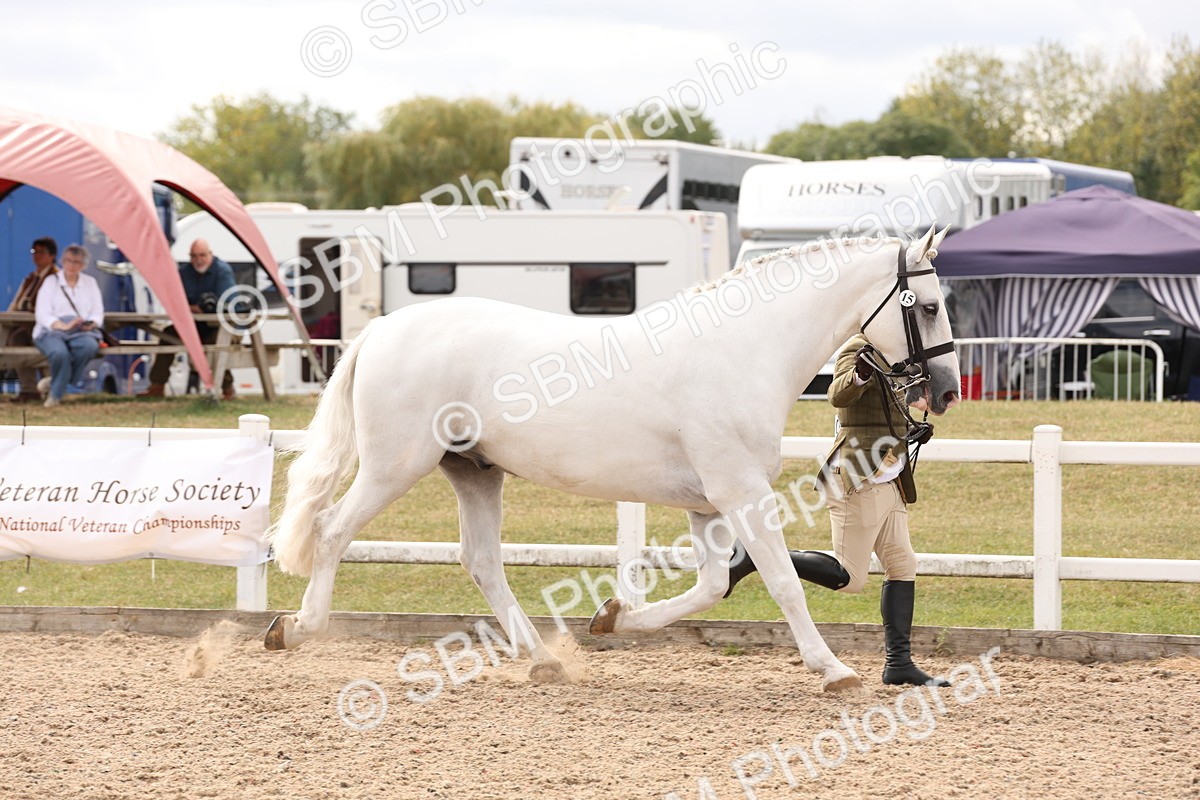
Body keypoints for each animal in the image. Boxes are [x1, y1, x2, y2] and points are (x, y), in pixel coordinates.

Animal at [264, 226, 961, 693]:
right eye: (928, 306)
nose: (947, 390)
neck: (742, 350)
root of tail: (382, 330)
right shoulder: (740, 492)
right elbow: (783, 582)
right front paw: (834, 670)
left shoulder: (708, 505)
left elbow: (711, 586)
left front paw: (613, 619)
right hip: (394, 466)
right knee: (331, 531)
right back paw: (294, 628)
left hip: (474, 471)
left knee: (482, 561)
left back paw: (544, 659)